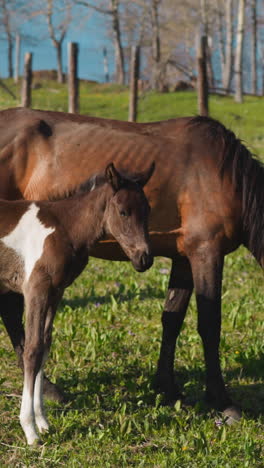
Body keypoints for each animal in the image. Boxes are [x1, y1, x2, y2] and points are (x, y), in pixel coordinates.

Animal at [0, 108, 262, 422]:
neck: (223, 174)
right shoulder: (206, 252)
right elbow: (210, 324)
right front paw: (222, 401)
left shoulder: (184, 258)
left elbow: (172, 319)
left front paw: (167, 388)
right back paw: (50, 390)